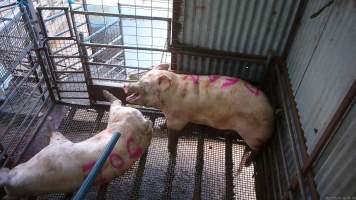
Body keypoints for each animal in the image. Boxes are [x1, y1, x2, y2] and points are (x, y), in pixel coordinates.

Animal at [0, 90, 152, 198]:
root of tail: (143, 125)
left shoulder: (55, 149)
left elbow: (56, 135)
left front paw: (49, 123)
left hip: (121, 113)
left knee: (117, 102)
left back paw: (105, 92)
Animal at [124, 64, 274, 155]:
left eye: (145, 83)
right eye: (141, 77)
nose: (126, 85)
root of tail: (272, 116)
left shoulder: (178, 118)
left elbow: (173, 134)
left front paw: (171, 151)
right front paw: (161, 127)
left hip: (254, 135)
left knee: (256, 150)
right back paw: (227, 133)